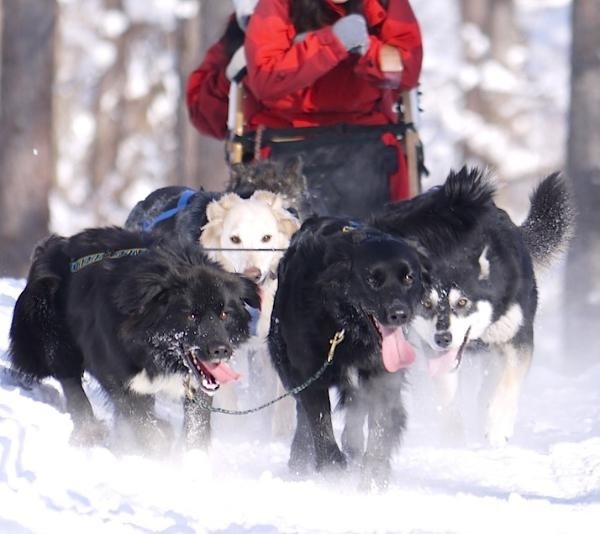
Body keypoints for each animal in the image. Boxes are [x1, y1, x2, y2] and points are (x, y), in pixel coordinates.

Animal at [8, 226, 258, 452]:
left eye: (224, 314)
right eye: (191, 315)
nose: (221, 350)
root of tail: (51, 246)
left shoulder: (194, 387)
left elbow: (196, 428)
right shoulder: (120, 378)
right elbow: (145, 427)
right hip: (47, 317)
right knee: (70, 381)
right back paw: (89, 431)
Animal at [270, 218, 428, 490]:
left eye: (409, 277)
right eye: (372, 280)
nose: (399, 314)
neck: (343, 325)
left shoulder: (382, 376)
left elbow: (380, 427)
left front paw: (373, 479)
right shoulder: (308, 375)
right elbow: (320, 425)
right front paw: (334, 475)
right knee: (304, 418)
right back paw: (300, 460)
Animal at [372, 168, 576, 448]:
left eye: (462, 302)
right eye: (427, 303)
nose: (443, 338)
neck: (451, 248)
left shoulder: (517, 337)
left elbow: (508, 382)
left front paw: (497, 425)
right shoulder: (433, 350)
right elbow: (447, 397)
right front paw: (454, 440)